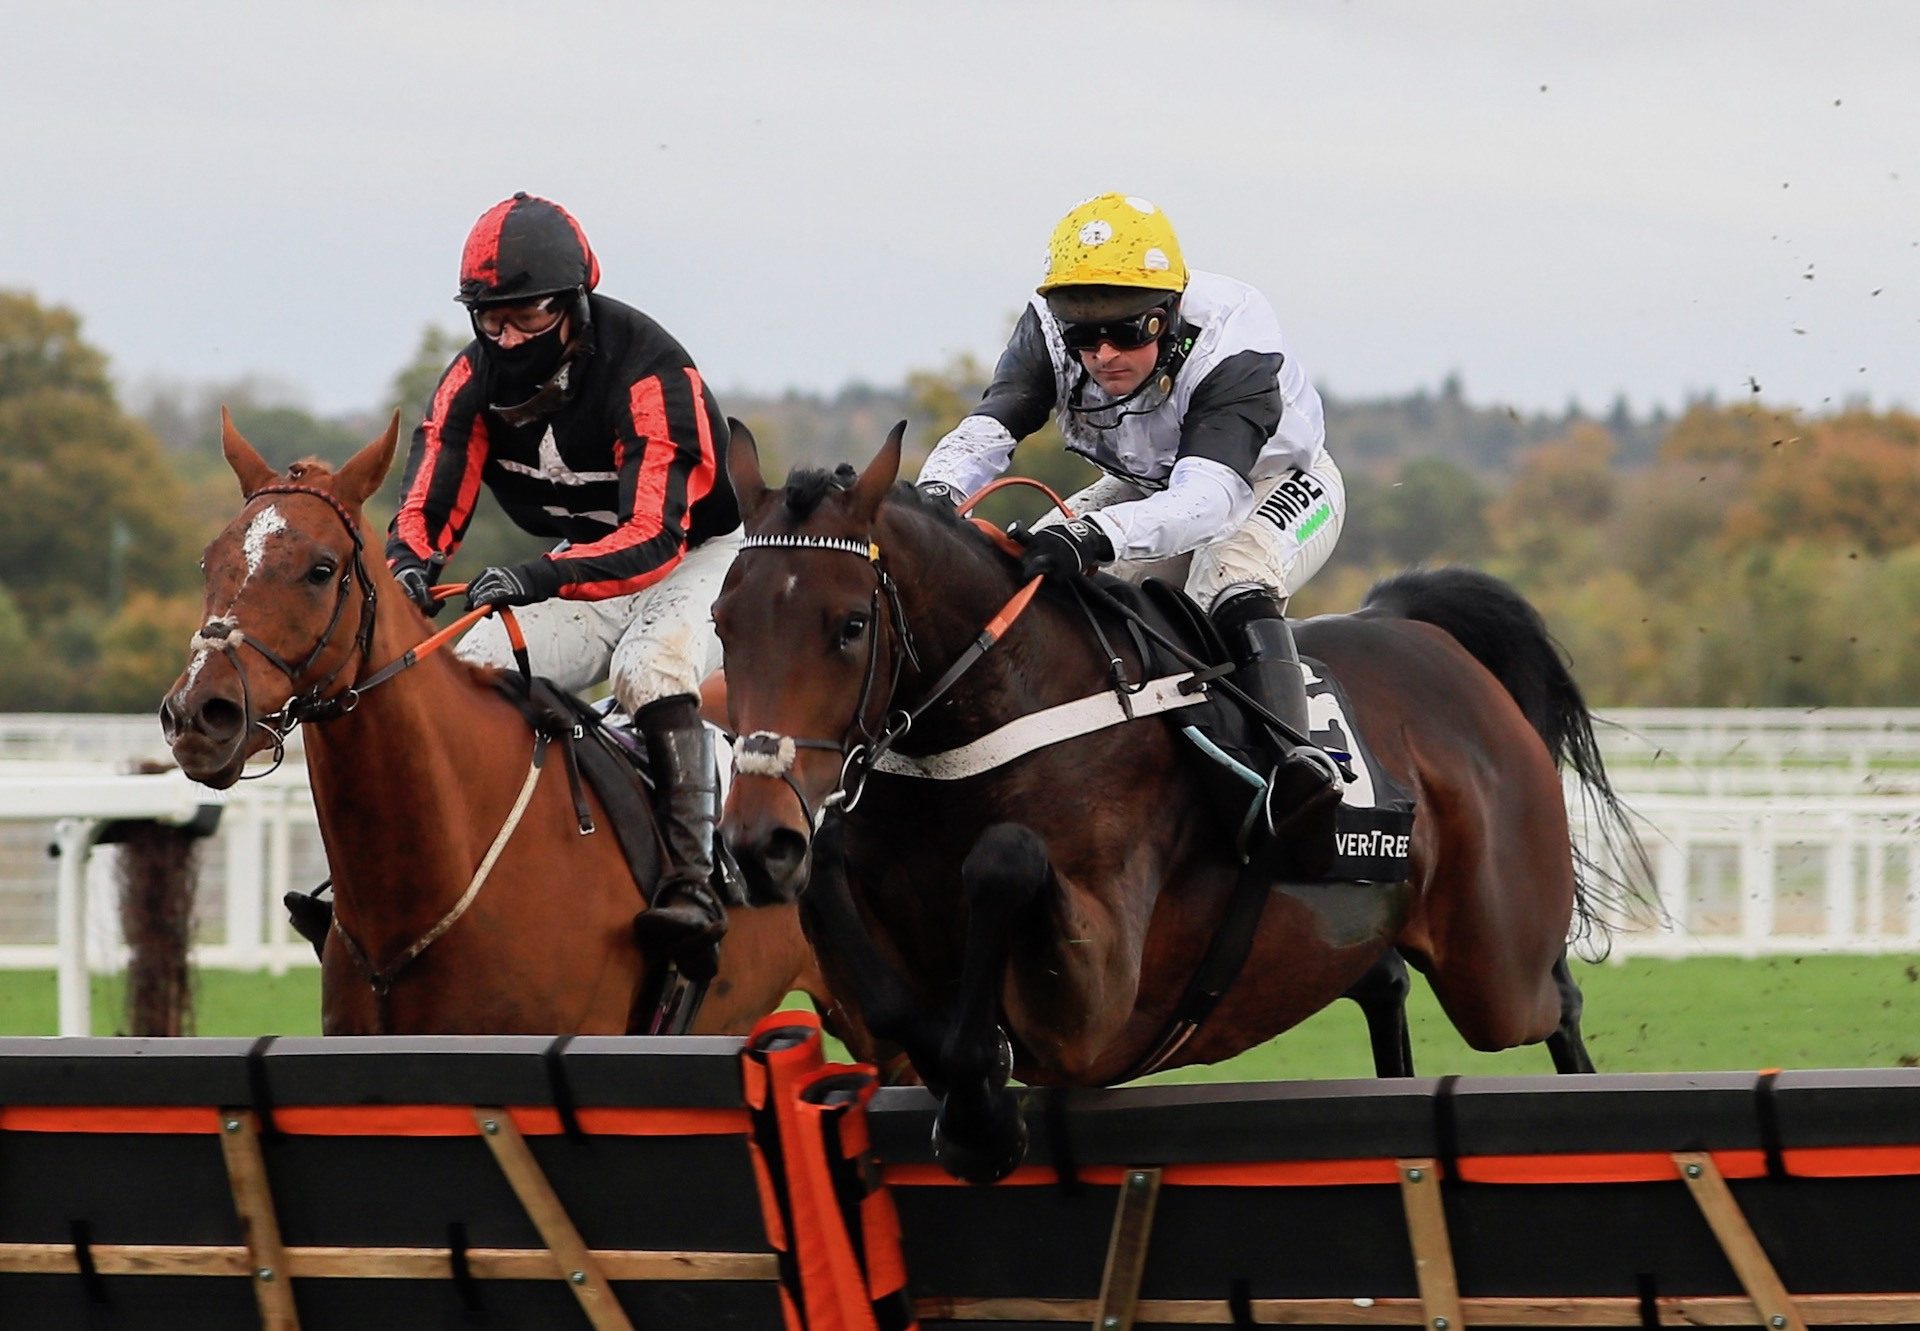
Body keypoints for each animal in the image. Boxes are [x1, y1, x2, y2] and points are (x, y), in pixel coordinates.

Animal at [714, 420, 1643, 1175]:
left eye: (850, 626)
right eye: (724, 622)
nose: (759, 841)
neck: (989, 721)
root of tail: (1421, 631)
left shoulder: (1092, 1010)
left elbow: (1004, 859)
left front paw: (982, 1108)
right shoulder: (872, 989)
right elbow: (871, 952)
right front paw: (969, 1093)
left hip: (1495, 970)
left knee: (1556, 1002)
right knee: (1383, 981)